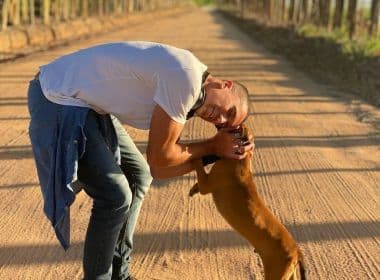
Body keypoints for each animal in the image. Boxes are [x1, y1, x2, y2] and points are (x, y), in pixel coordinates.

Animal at [190, 125, 306, 280]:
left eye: (235, 127)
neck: (242, 159)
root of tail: (296, 250)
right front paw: (193, 189)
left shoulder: (207, 184)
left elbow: (199, 169)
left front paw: (195, 158)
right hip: (288, 274)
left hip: (275, 273)